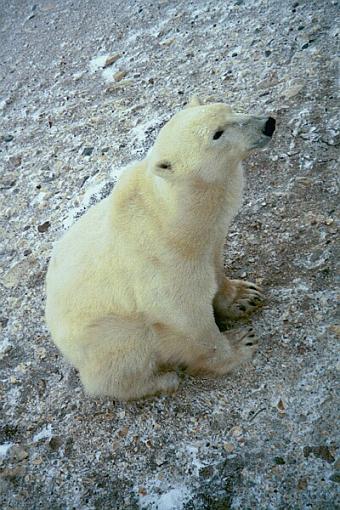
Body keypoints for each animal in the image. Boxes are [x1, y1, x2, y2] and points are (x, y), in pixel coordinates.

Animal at [45, 97, 274, 400]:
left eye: (230, 108)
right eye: (217, 134)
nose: (268, 123)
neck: (173, 219)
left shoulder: (208, 244)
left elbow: (216, 268)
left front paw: (243, 296)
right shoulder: (162, 265)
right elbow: (187, 317)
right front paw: (239, 344)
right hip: (106, 335)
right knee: (119, 363)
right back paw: (163, 380)